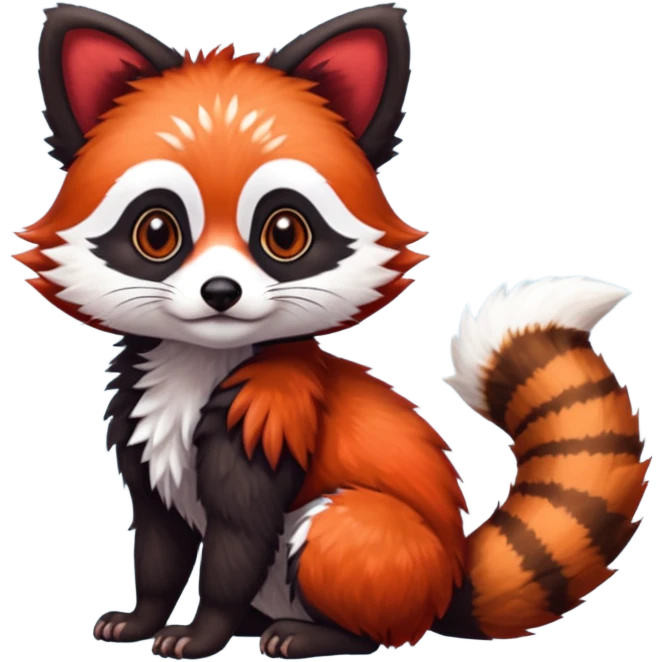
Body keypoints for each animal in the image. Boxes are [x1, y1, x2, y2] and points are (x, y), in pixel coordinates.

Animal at [17, 2, 649, 661]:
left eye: (284, 233)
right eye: (157, 232)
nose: (220, 293)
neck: (198, 367)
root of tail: (451, 581)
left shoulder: (270, 418)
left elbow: (234, 545)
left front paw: (201, 632)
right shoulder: (145, 438)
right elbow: (159, 549)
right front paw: (142, 620)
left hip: (366, 542)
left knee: (351, 552)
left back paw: (308, 634)